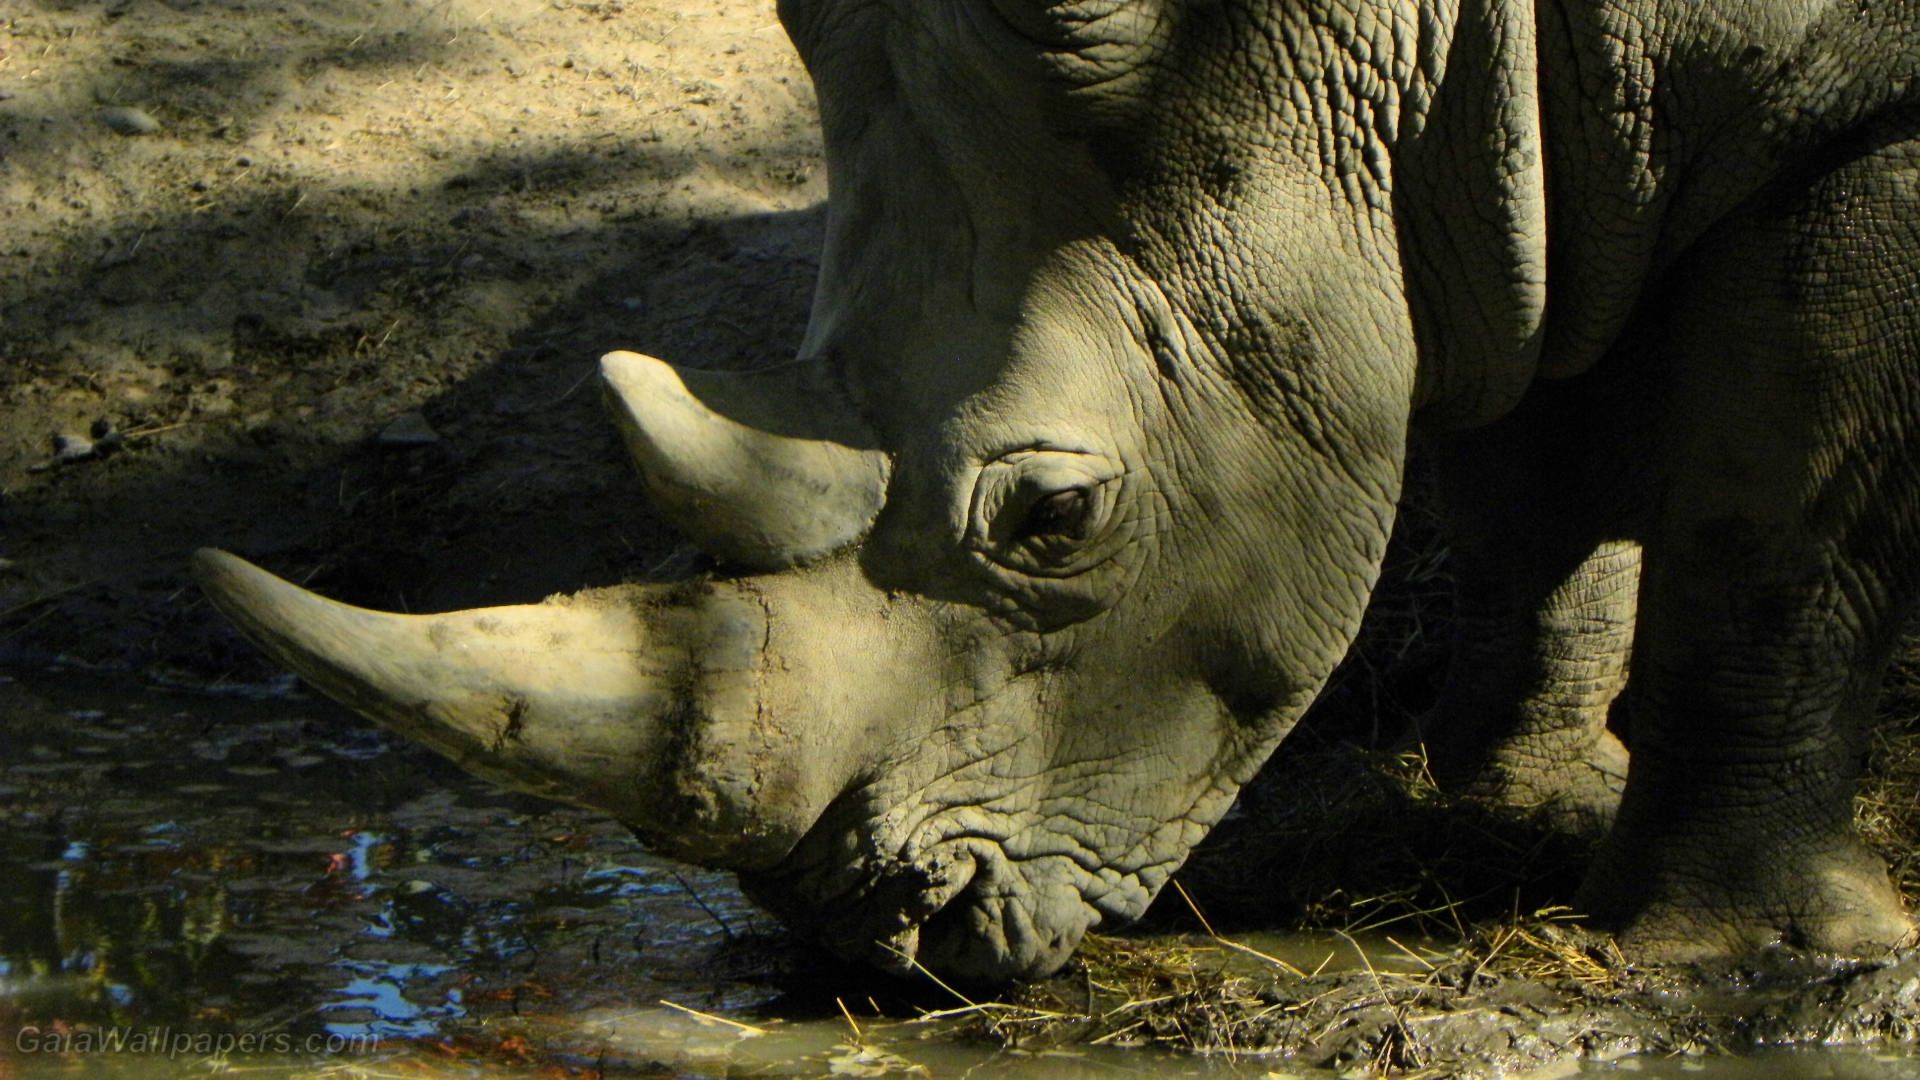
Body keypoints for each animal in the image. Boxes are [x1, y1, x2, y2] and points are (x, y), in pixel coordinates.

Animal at [195, 0, 1920, 981]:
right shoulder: (1493, 160)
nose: (886, 934)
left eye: (1056, 522)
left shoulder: (1861, 105)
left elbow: (1777, 520)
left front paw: (1740, 953)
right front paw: (1514, 779)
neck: (1395, 30)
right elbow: (1528, 446)